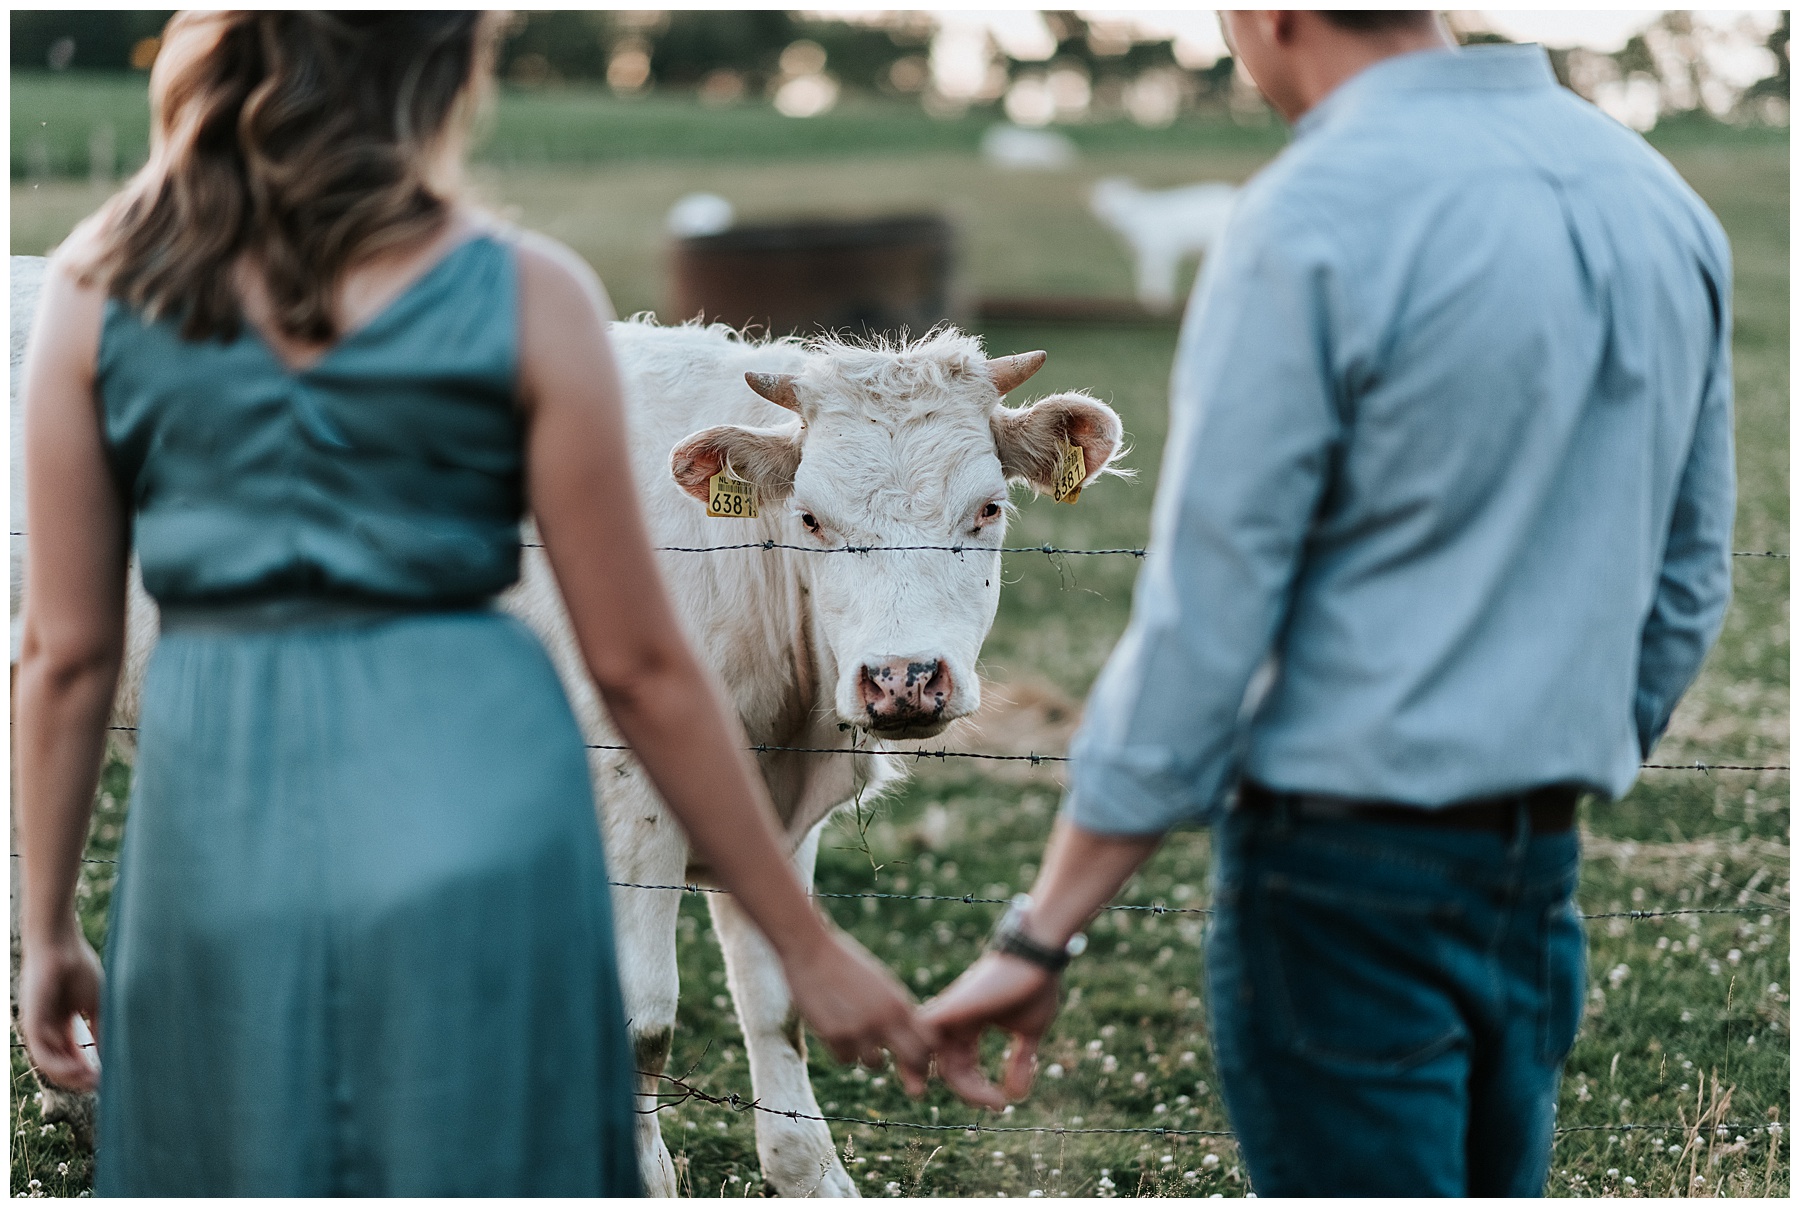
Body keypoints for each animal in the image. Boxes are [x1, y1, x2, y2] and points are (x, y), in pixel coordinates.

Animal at [1087, 177, 1245, 316]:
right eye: (1102, 201)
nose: (1110, 215)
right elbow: (1145, 272)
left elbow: (1157, 273)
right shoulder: (1148, 252)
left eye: (1120, 201)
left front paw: (1157, 302)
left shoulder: (1160, 249)